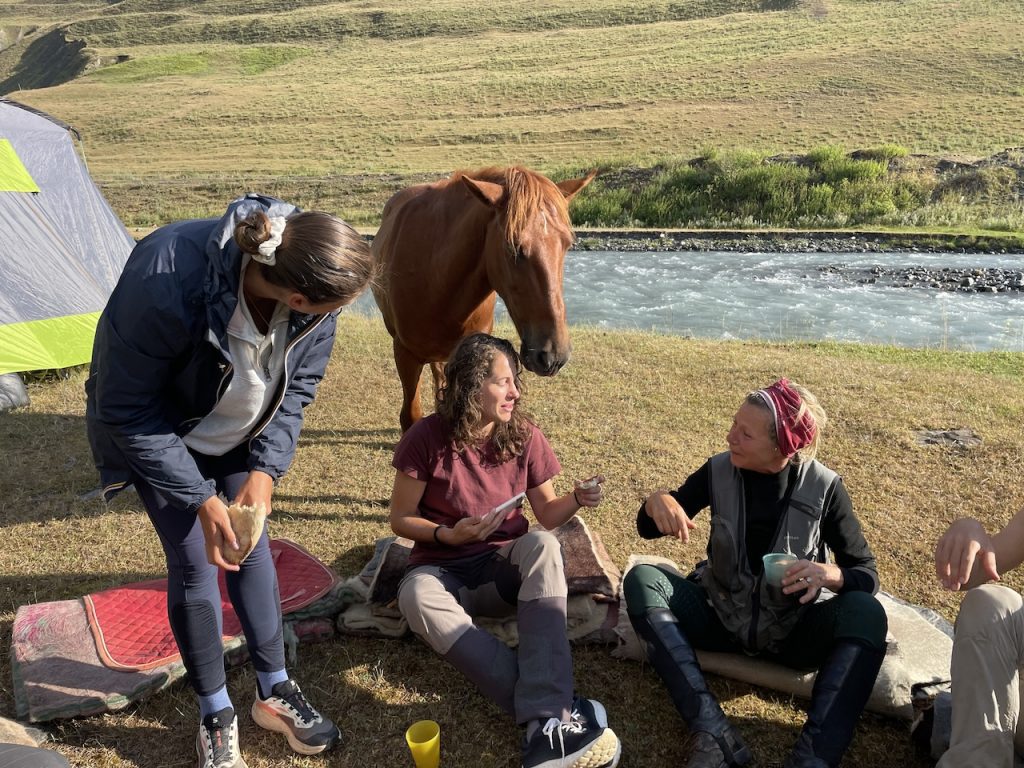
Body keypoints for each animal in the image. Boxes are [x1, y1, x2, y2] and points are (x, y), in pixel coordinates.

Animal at [371, 165, 597, 431]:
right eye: (513, 248)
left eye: (567, 244)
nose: (554, 355)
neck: (436, 280)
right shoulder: (405, 355)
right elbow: (411, 416)